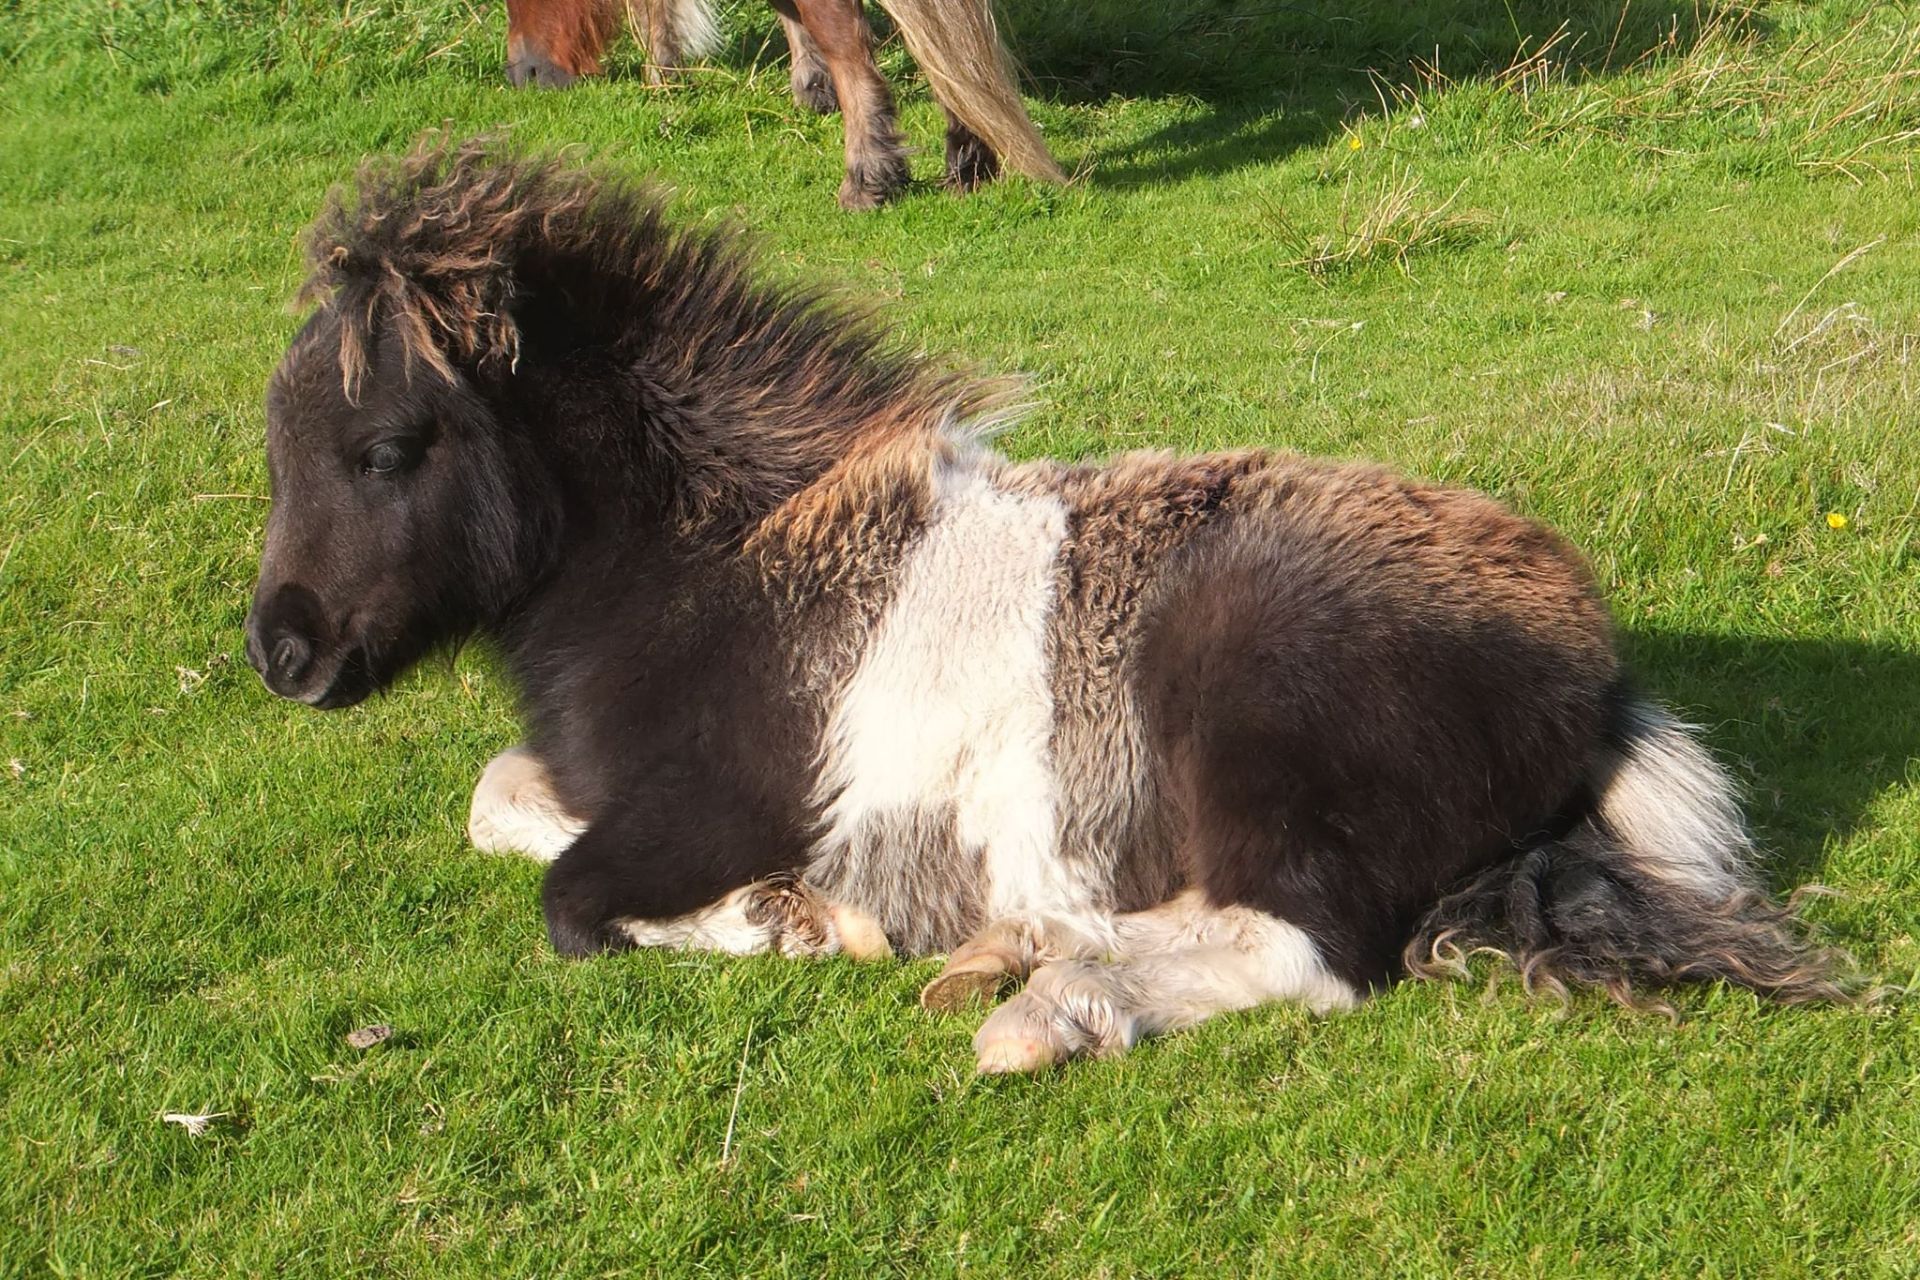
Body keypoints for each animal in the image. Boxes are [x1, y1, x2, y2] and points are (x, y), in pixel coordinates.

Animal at [243, 140, 1843, 1074]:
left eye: (386, 449)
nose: (282, 651)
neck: (708, 565)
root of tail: (1594, 677)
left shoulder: (713, 806)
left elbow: (574, 906)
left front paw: (795, 922)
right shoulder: (592, 779)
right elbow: (500, 801)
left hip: (1256, 737)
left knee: (1310, 952)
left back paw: (1046, 1007)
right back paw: (1015, 950)